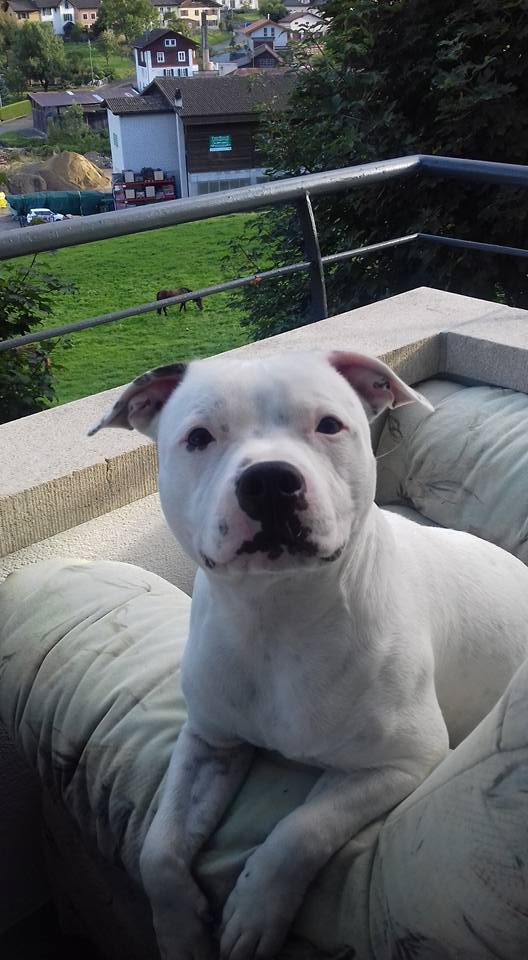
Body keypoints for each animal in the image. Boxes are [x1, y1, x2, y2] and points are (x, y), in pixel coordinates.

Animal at [90, 350, 528, 960]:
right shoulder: (208, 742)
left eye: (329, 425)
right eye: (199, 437)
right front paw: (179, 931)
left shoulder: (403, 761)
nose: (270, 481)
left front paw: (254, 912)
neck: (277, 615)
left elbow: (301, 828)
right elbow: (159, 846)